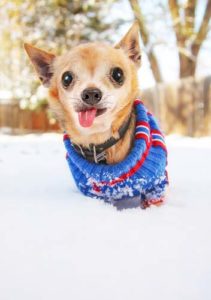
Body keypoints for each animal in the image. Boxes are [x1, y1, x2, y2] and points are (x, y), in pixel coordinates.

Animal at [25, 22, 168, 207]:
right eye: (66, 78)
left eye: (117, 74)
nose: (91, 93)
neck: (100, 141)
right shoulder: (92, 191)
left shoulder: (156, 186)